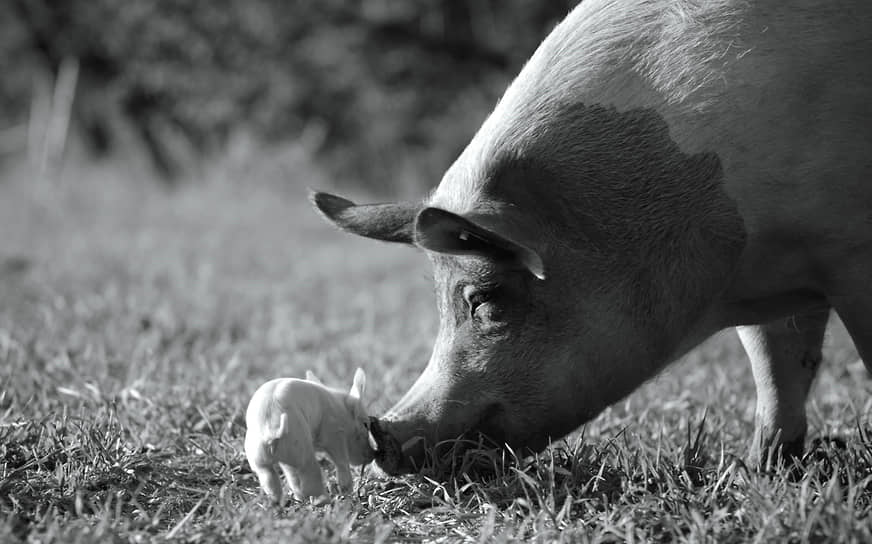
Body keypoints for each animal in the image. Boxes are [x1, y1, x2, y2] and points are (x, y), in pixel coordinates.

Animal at [244, 370, 372, 502]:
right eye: (366, 424)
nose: (371, 456)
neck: (342, 412)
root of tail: (272, 430)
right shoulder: (334, 434)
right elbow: (341, 462)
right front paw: (347, 492)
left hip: (262, 458)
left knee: (275, 479)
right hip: (302, 450)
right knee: (310, 475)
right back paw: (326, 500)